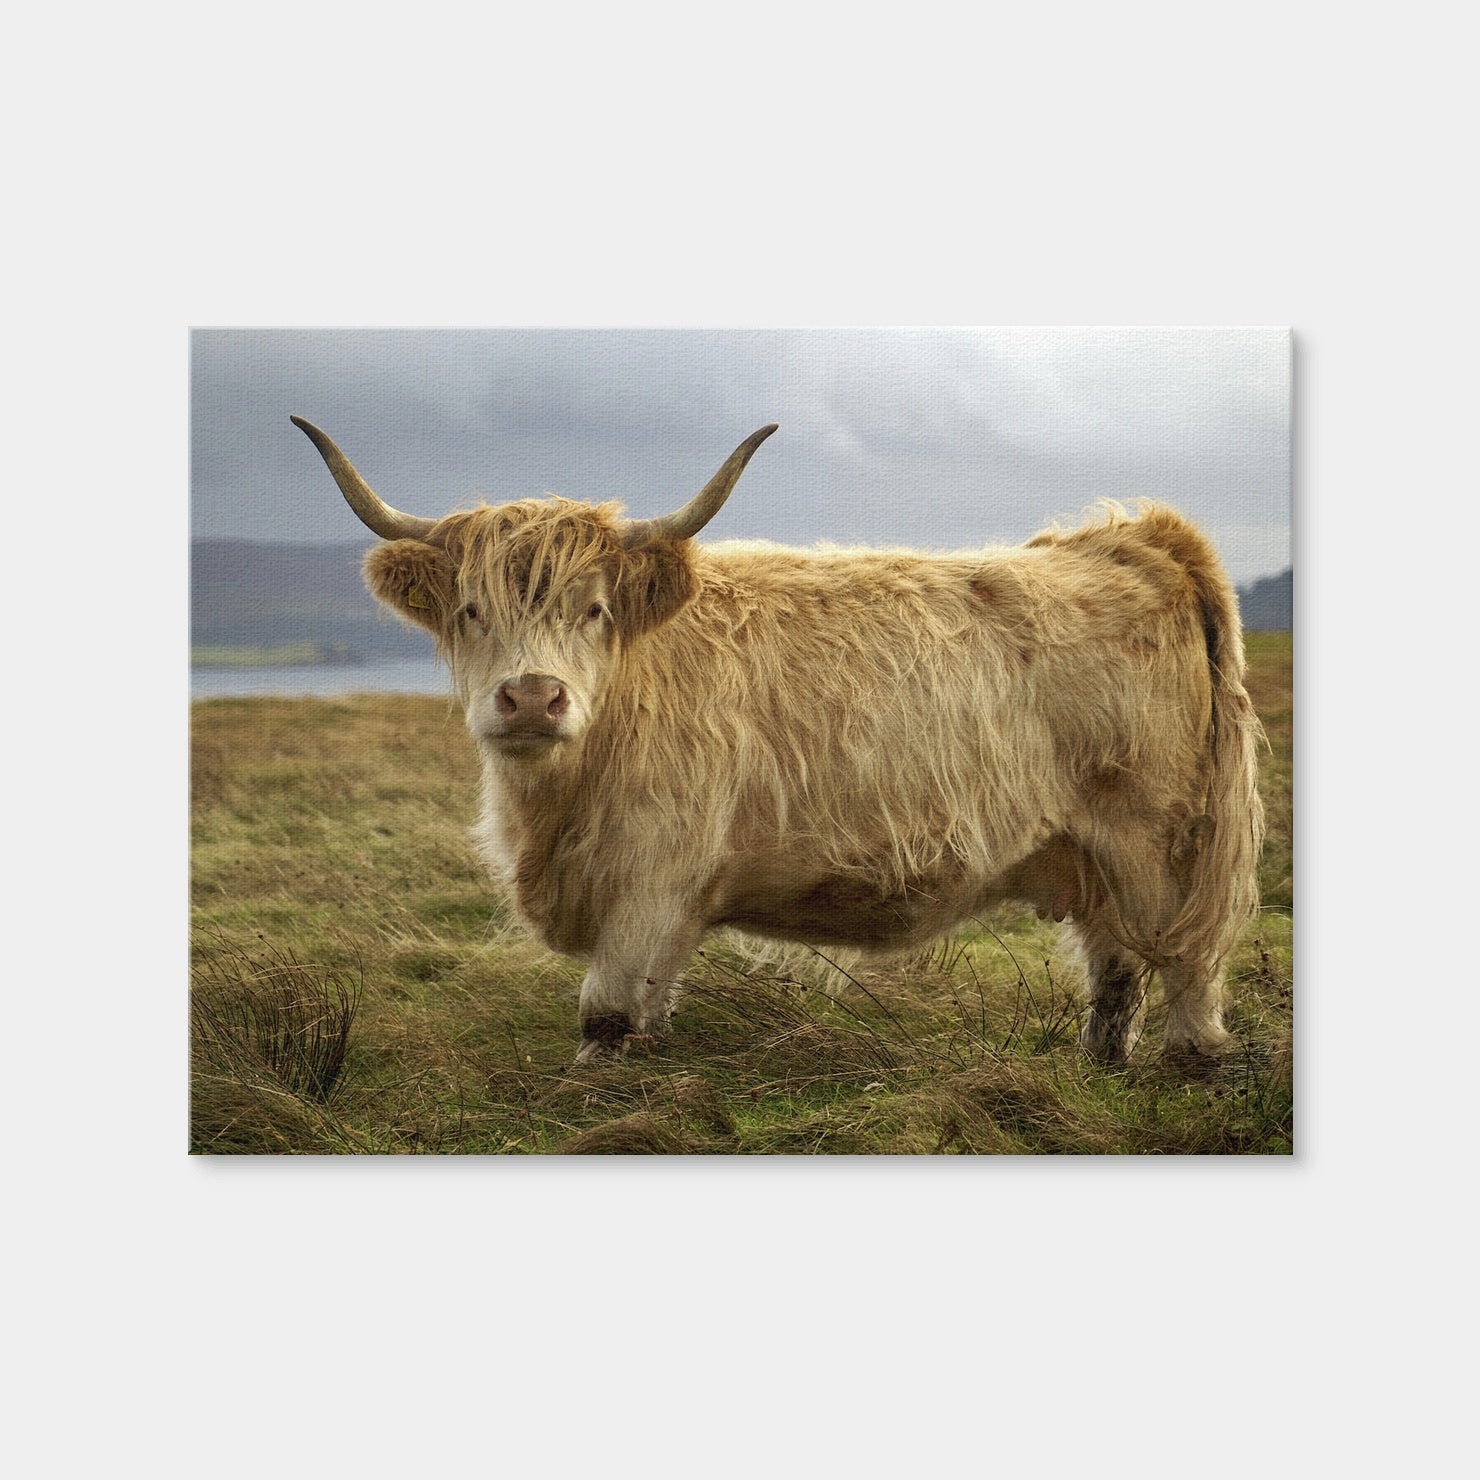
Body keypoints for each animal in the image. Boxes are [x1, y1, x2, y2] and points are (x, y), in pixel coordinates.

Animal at [292, 415, 1265, 1066]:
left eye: (596, 609)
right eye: (469, 610)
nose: (532, 697)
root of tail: (1133, 536)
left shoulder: (650, 874)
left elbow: (604, 1017)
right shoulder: (673, 899)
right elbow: (650, 1010)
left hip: (1158, 840)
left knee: (1185, 963)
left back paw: (1185, 1065)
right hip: (1090, 849)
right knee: (1115, 968)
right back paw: (1097, 1068)